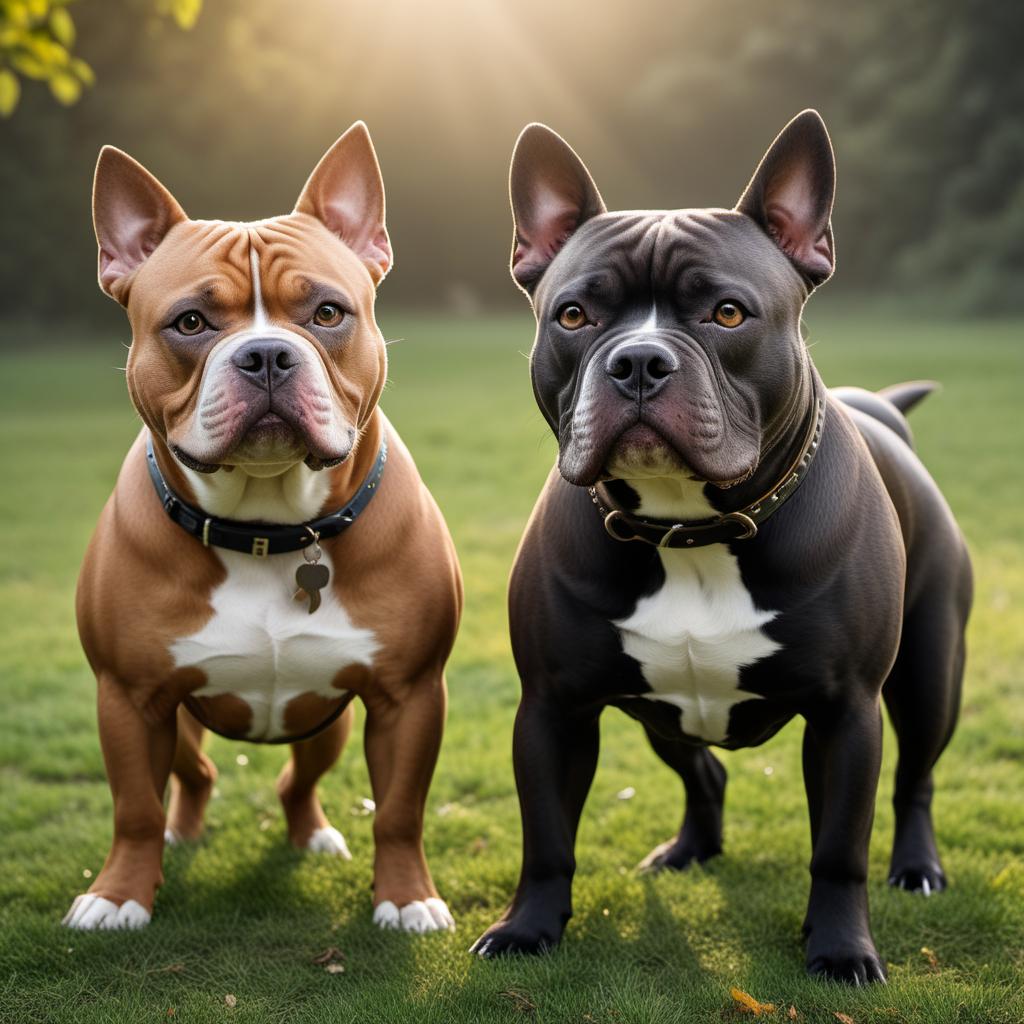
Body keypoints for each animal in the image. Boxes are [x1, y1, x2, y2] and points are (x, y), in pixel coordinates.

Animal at [61, 123, 462, 933]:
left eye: (328, 314)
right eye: (189, 322)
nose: (267, 353)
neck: (268, 531)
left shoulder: (407, 696)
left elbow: (400, 809)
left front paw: (407, 897)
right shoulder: (128, 697)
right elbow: (133, 808)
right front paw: (118, 894)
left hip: (325, 721)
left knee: (295, 783)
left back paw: (312, 835)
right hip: (177, 721)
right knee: (195, 773)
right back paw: (182, 834)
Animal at [471, 105, 974, 983]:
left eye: (729, 314)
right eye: (574, 316)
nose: (639, 361)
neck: (689, 528)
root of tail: (880, 411)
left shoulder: (848, 714)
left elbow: (839, 847)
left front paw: (841, 949)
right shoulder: (553, 707)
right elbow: (546, 837)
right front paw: (528, 929)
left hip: (928, 672)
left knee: (916, 778)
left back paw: (916, 867)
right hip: (660, 709)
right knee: (701, 768)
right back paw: (689, 850)